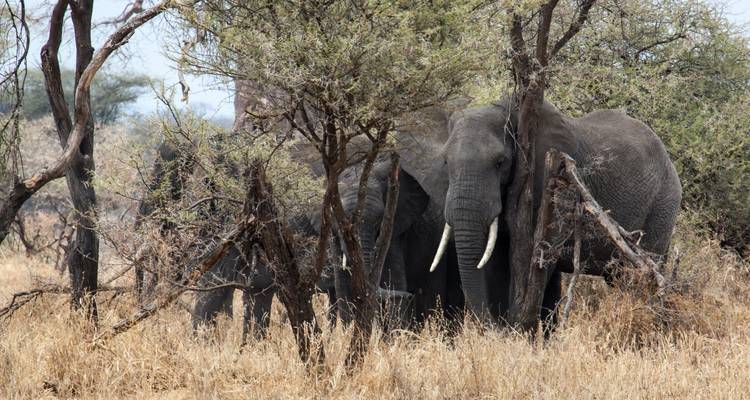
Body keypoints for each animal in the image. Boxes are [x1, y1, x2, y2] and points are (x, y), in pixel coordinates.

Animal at [419, 95, 682, 326]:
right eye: (446, 162)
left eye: (500, 162)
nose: (495, 327)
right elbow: (496, 262)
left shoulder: (556, 184)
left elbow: (539, 257)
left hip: (663, 203)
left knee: (641, 275)